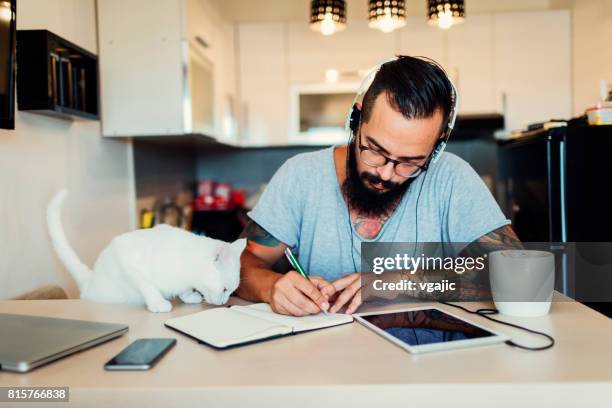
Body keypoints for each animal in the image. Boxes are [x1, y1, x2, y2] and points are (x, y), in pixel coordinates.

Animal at [46, 190, 246, 312]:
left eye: (231, 291)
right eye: (225, 289)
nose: (224, 303)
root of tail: (90, 280)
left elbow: (181, 289)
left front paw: (188, 296)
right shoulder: (126, 257)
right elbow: (147, 286)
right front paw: (158, 303)